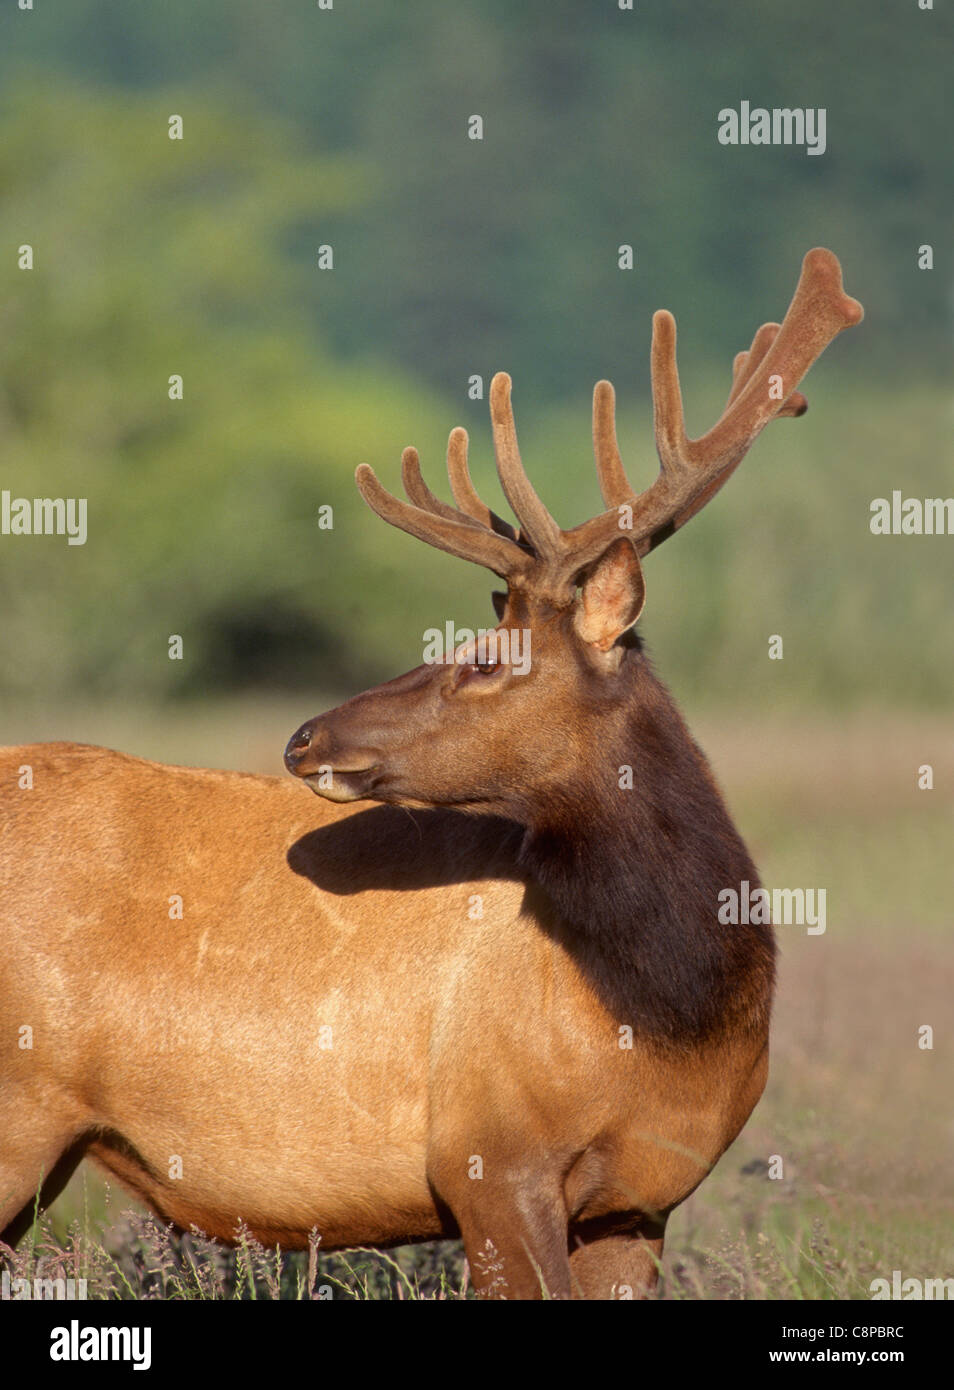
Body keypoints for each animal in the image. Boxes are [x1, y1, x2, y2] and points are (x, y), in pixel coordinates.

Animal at [0, 249, 862, 1299]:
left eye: (486, 660)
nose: (304, 737)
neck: (669, 1017)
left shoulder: (640, 1201)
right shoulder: (486, 1156)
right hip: (17, 1110)